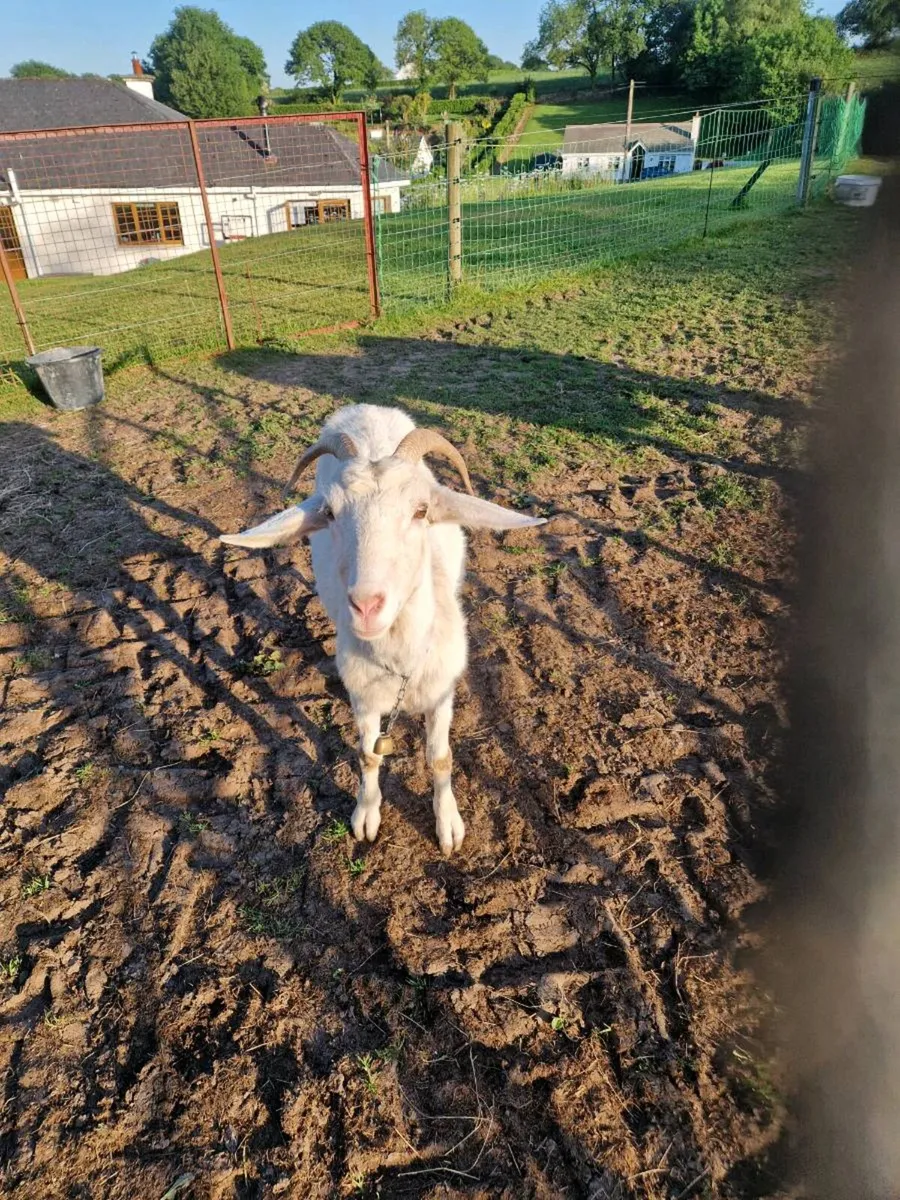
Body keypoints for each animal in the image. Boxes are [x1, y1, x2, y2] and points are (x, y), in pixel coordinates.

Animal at [221, 404, 545, 854]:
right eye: (330, 513)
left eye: (421, 511)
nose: (366, 606)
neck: (400, 662)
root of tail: (364, 408)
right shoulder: (364, 695)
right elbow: (368, 754)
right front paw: (366, 816)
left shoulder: (441, 691)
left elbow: (440, 757)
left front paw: (448, 826)